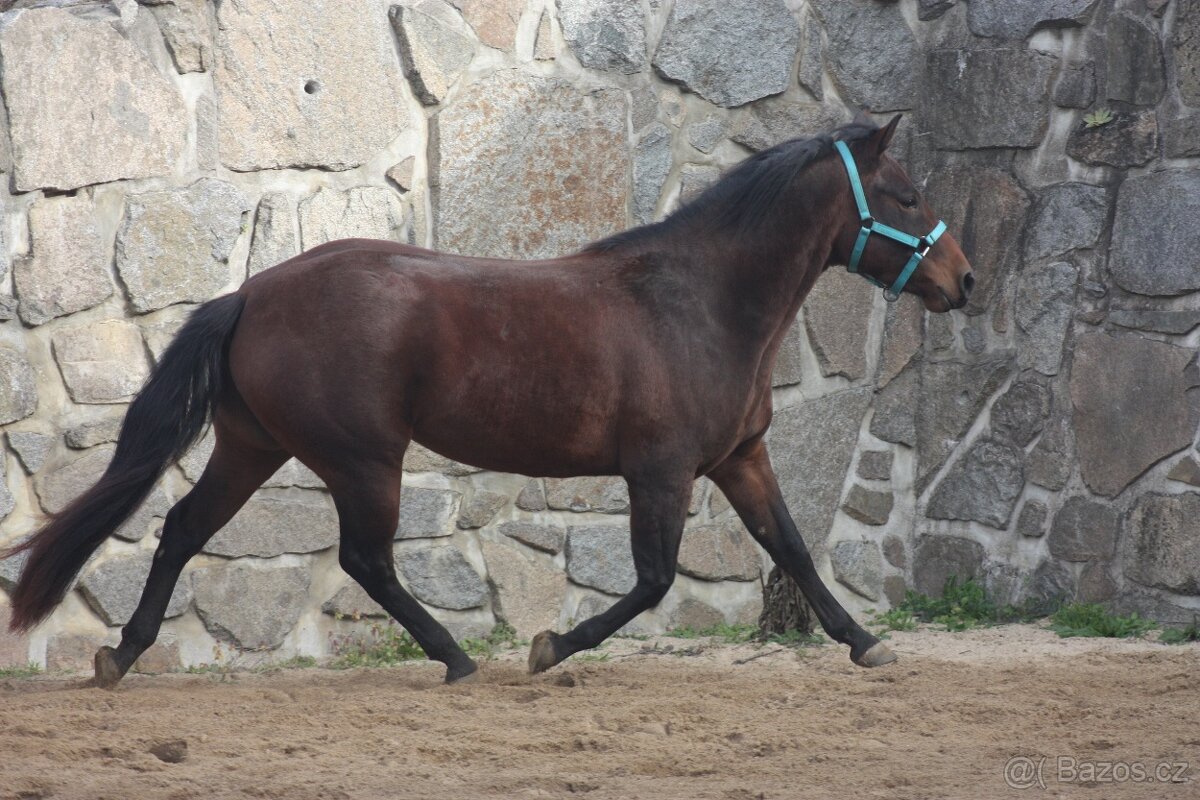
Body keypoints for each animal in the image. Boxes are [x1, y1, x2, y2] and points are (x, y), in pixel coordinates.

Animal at [4, 114, 973, 688]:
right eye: (909, 194)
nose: (964, 280)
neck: (698, 302)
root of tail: (251, 292)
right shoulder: (660, 471)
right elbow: (655, 580)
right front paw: (550, 649)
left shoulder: (740, 458)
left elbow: (794, 551)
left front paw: (866, 642)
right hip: (364, 460)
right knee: (366, 560)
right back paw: (458, 658)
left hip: (254, 447)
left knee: (182, 530)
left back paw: (121, 654)